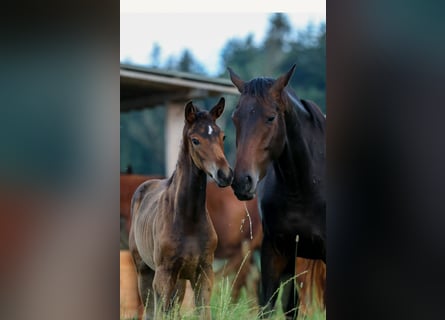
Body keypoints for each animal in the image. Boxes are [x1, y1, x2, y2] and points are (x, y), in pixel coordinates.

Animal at [128, 99, 232, 318]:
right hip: (144, 272)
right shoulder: (163, 275)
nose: (225, 174)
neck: (188, 219)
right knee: (151, 311)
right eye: (195, 140)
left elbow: (203, 313)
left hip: (180, 281)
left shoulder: (204, 272)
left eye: (222, 136)